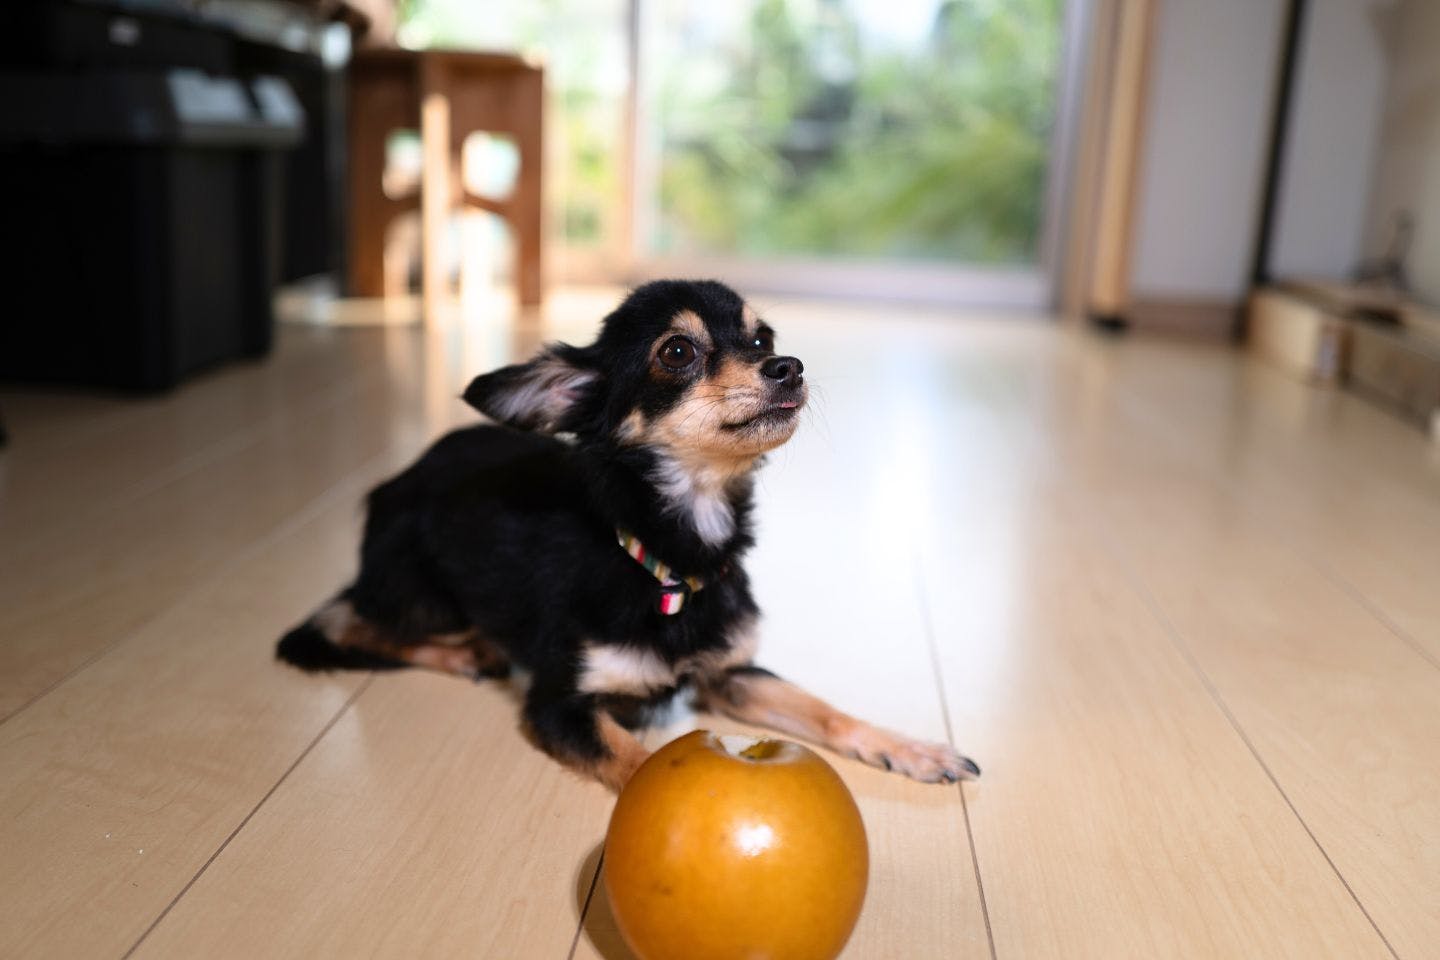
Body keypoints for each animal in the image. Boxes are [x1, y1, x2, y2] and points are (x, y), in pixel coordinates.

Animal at [277, 277, 979, 788]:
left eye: (761, 339)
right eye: (677, 351)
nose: (790, 365)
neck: (669, 559)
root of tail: (396, 479)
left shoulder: (732, 672)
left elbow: (823, 708)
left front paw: (912, 748)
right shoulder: (558, 704)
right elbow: (639, 762)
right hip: (425, 595)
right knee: (337, 624)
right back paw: (466, 653)